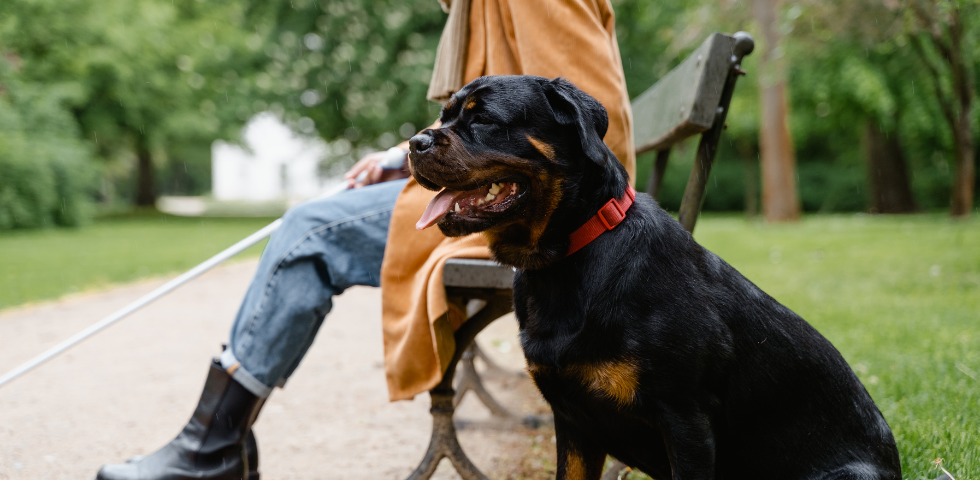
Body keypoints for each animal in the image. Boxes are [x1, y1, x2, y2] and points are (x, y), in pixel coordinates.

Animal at [408, 76, 904, 480]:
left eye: (484, 119)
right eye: (444, 115)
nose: (415, 143)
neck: (566, 260)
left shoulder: (685, 419)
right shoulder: (574, 422)